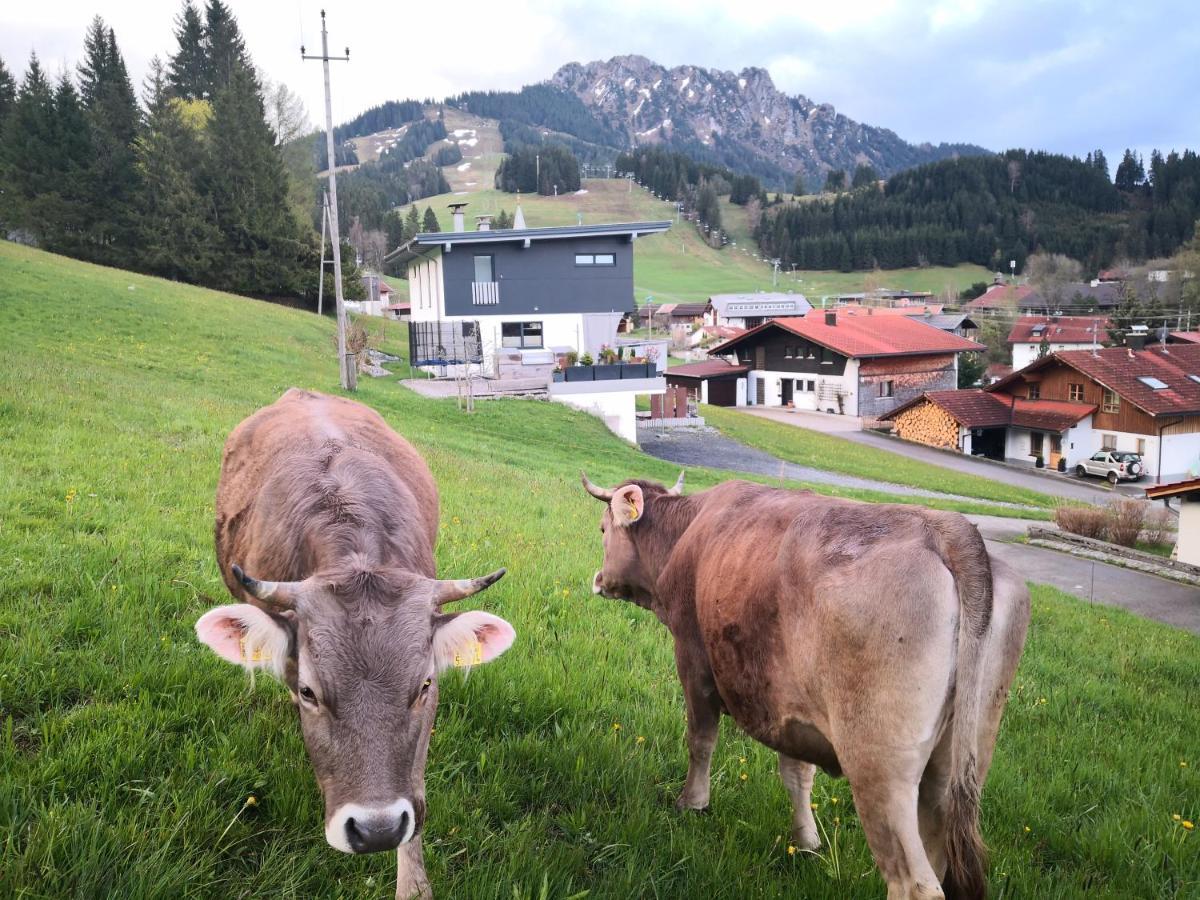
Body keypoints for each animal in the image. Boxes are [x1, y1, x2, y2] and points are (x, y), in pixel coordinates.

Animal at [580, 475, 1032, 897]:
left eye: (603, 529)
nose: (598, 580)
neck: (687, 531)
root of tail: (946, 527)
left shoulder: (693, 661)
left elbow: (700, 741)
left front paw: (692, 804)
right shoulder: (790, 706)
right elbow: (797, 773)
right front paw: (807, 840)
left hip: (880, 768)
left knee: (915, 883)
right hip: (956, 761)